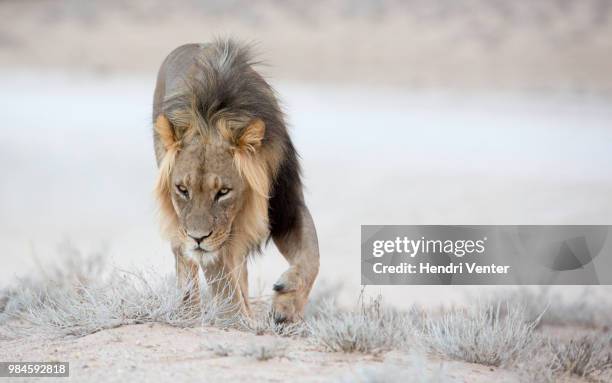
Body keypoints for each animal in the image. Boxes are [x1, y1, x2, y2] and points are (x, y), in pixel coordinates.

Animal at [152, 39, 320, 324]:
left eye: (223, 191)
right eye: (183, 189)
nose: (197, 238)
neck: (211, 116)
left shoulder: (286, 207)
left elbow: (312, 256)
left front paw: (286, 306)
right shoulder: (212, 243)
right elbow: (224, 287)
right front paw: (240, 322)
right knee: (186, 261)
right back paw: (188, 313)